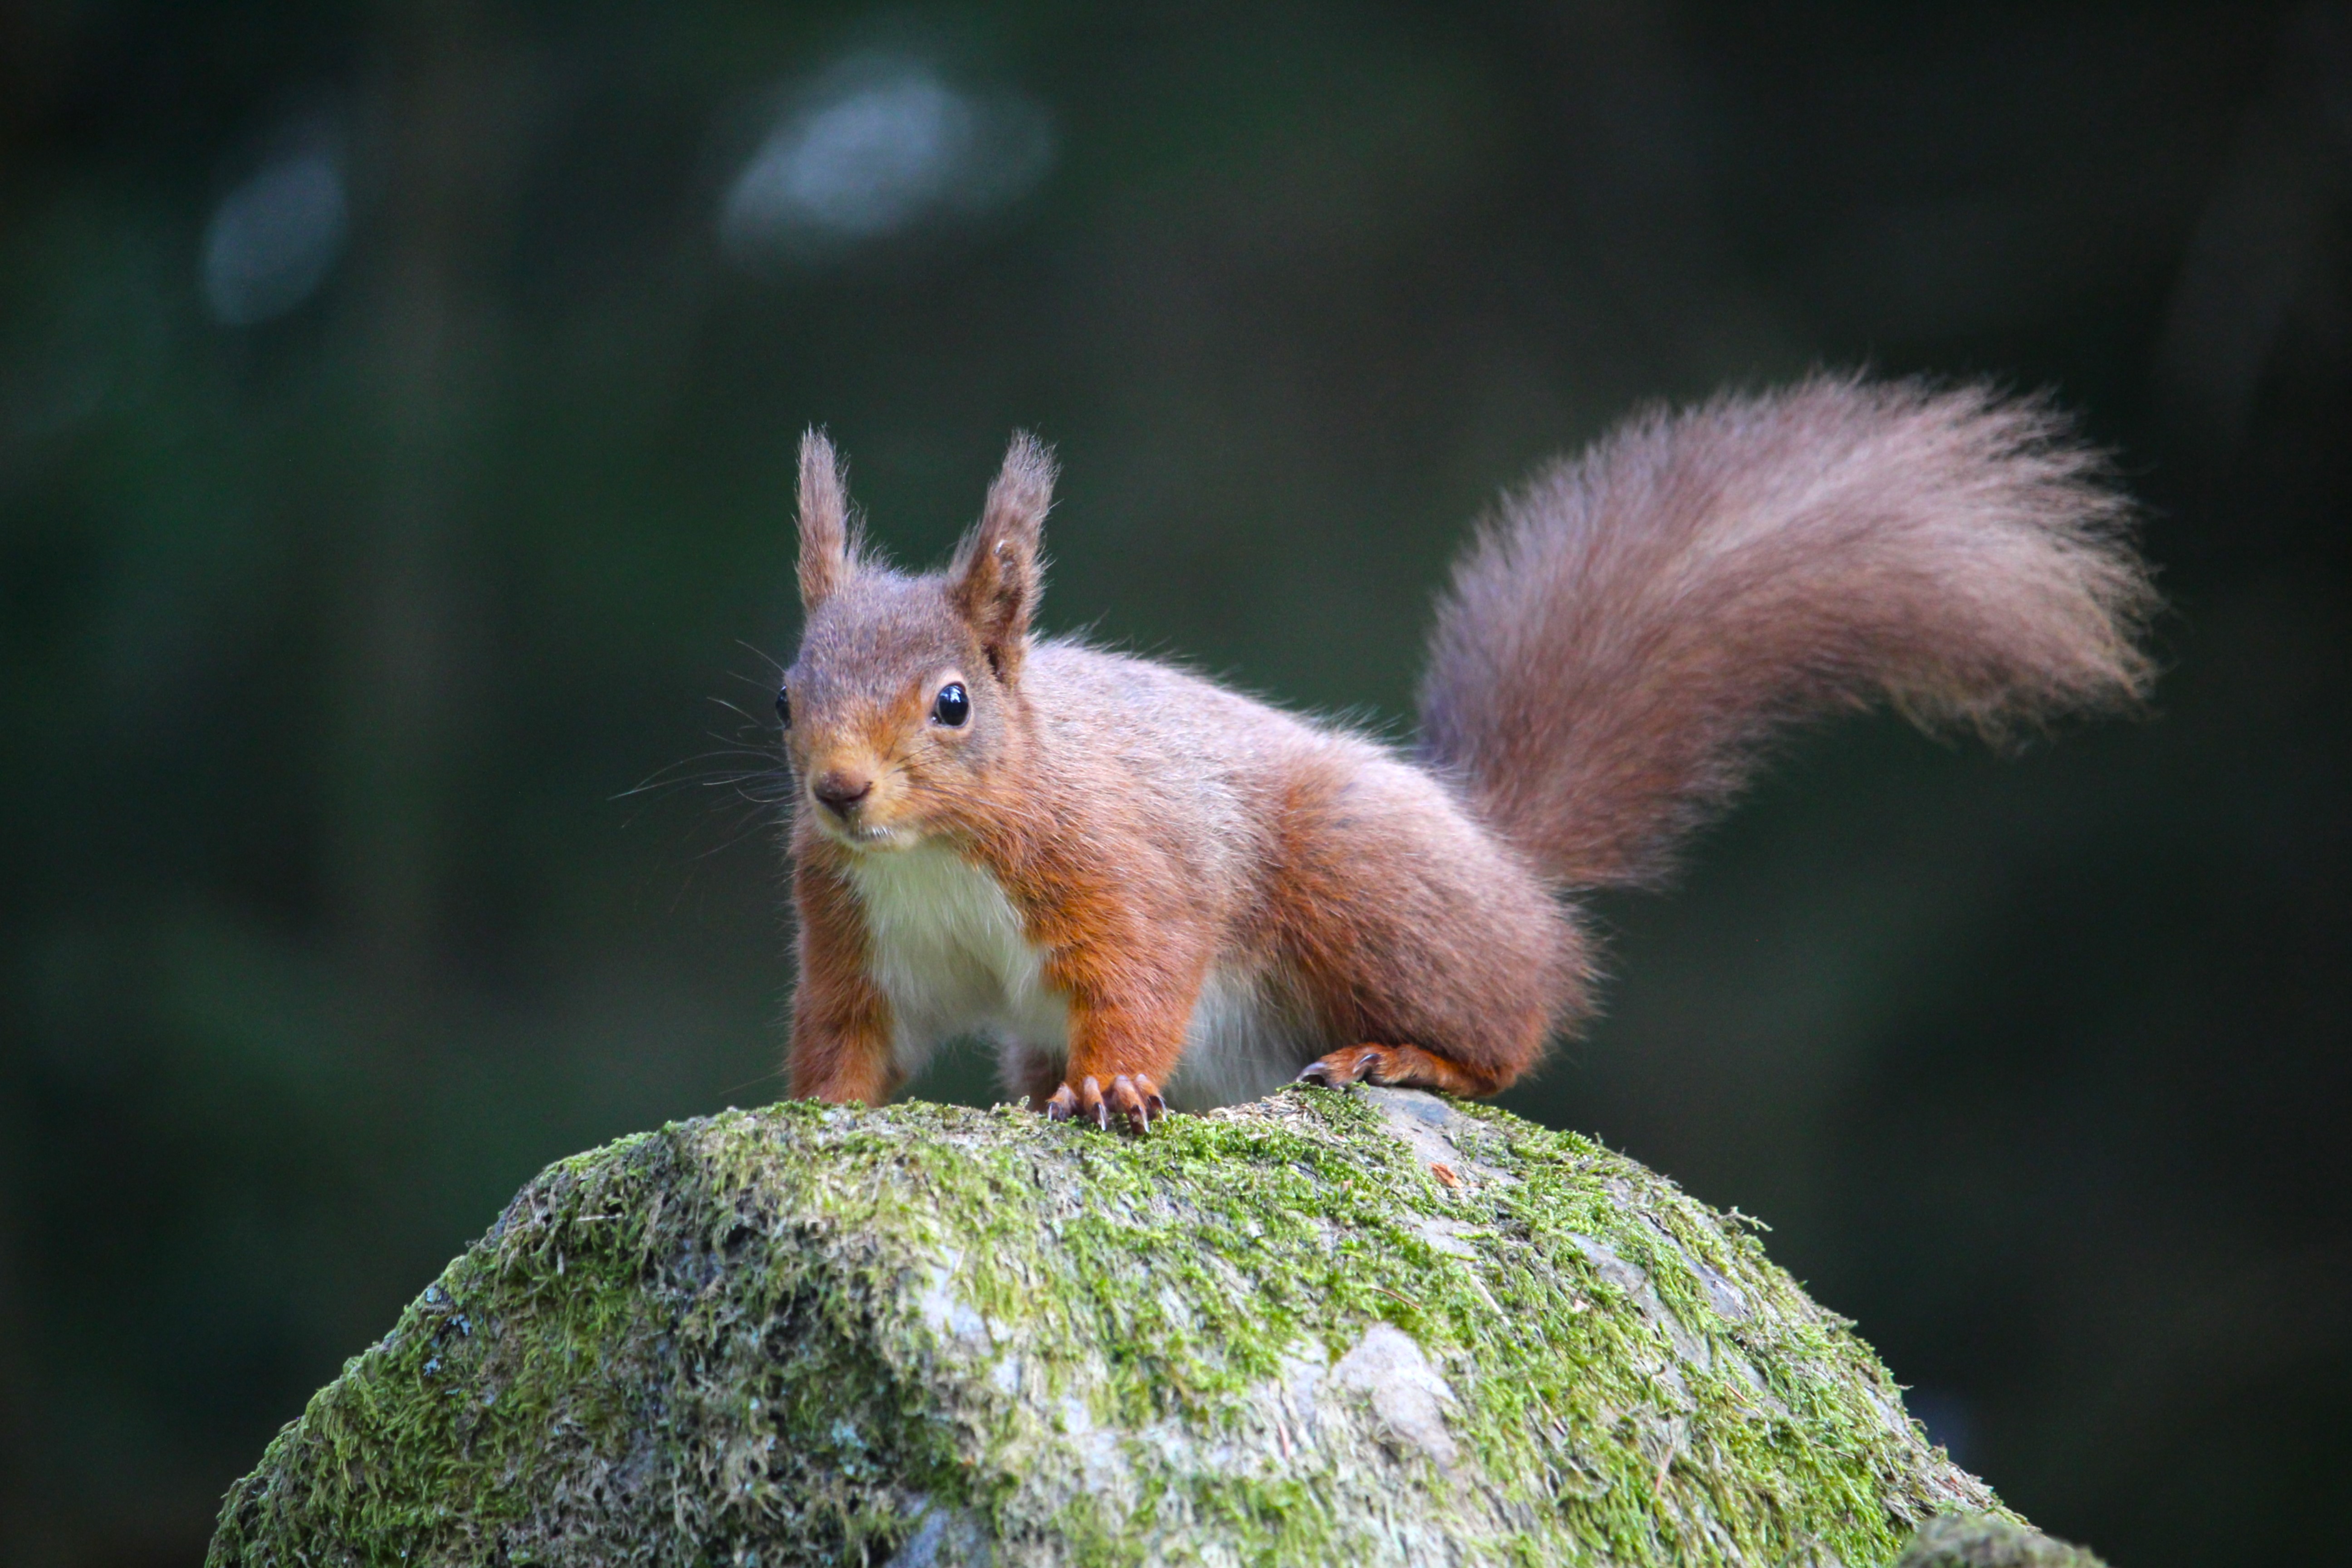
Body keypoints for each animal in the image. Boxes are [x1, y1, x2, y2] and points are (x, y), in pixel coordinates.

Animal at [774, 376, 2157, 1131]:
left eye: (954, 703)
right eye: (787, 692)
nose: (838, 792)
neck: (933, 855)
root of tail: (1497, 854)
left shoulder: (1123, 866)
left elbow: (1144, 971)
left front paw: (1112, 1087)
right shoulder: (854, 936)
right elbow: (848, 1038)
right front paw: (816, 1109)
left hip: (1364, 887)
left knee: (1512, 1029)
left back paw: (1401, 1055)